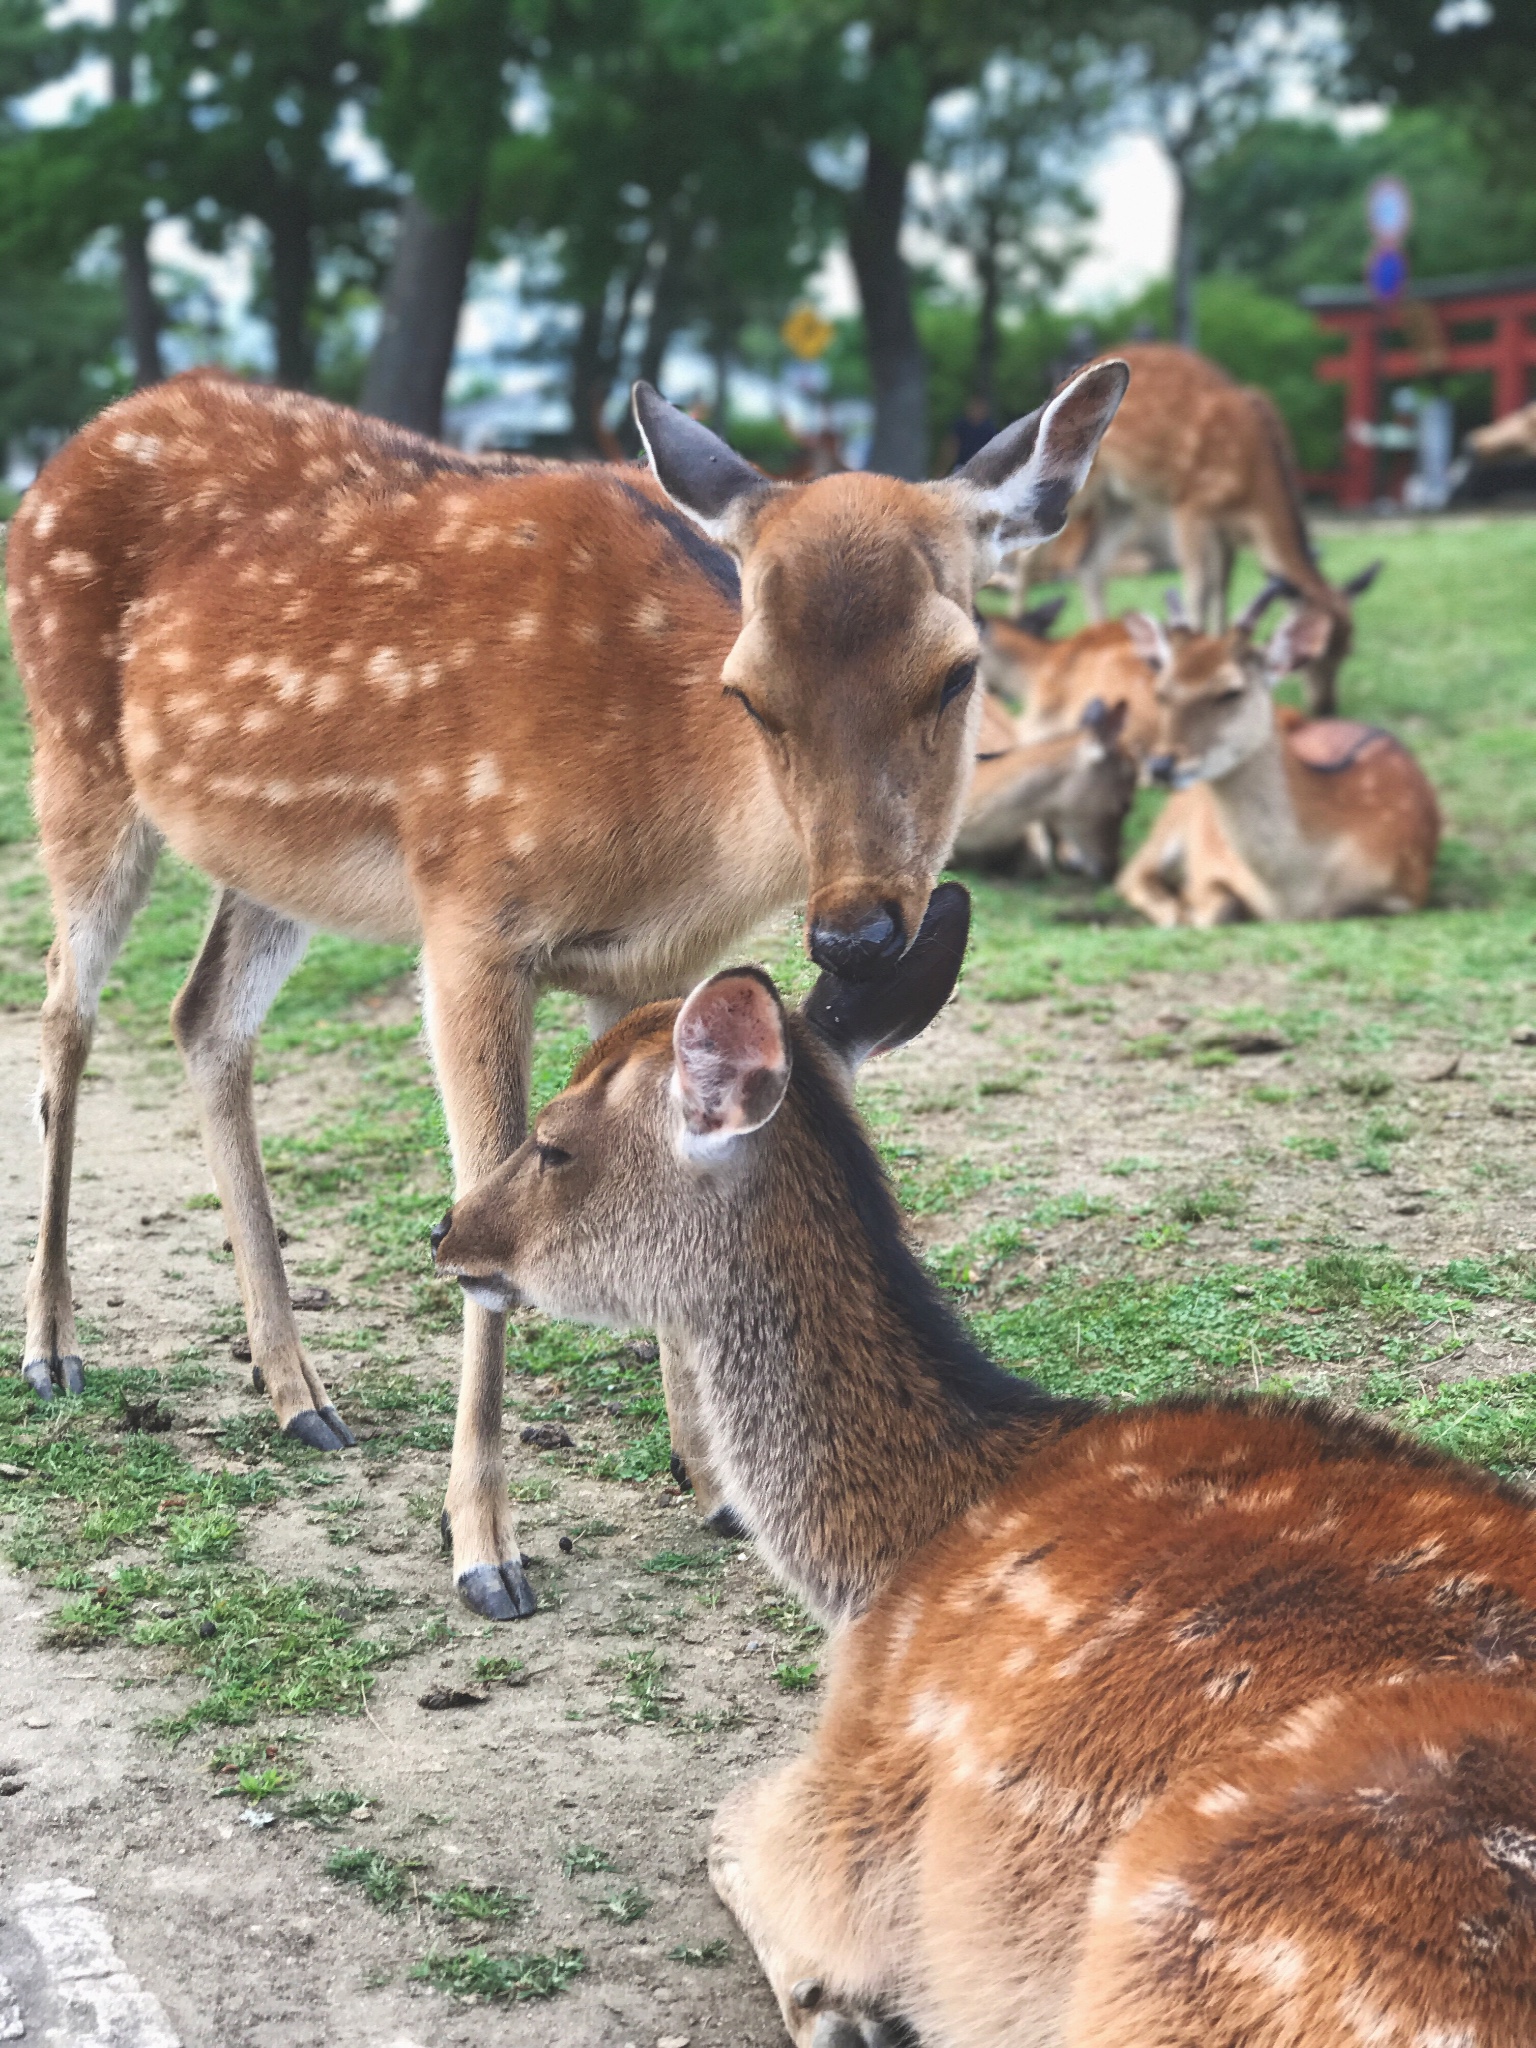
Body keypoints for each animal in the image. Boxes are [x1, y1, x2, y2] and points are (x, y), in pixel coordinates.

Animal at [436, 884, 1536, 2048]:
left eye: (553, 1144)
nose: (445, 1232)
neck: (882, 1563)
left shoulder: (857, 1783)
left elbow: (725, 1821)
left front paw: (835, 2000)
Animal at [1028, 354, 1392, 729]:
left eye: (1348, 649)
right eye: (1313, 656)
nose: (1326, 708)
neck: (1251, 487)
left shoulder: (1226, 530)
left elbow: (1221, 589)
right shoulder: (1191, 505)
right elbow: (1198, 586)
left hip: (1124, 500)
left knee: (1090, 563)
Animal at [1122, 577, 1441, 929]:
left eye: (1231, 690)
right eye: (1160, 692)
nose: (1160, 765)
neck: (1288, 895)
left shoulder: (1409, 890)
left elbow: (1338, 910)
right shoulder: (1206, 869)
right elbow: (1217, 909)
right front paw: (1188, 909)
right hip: (1178, 810)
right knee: (1131, 872)